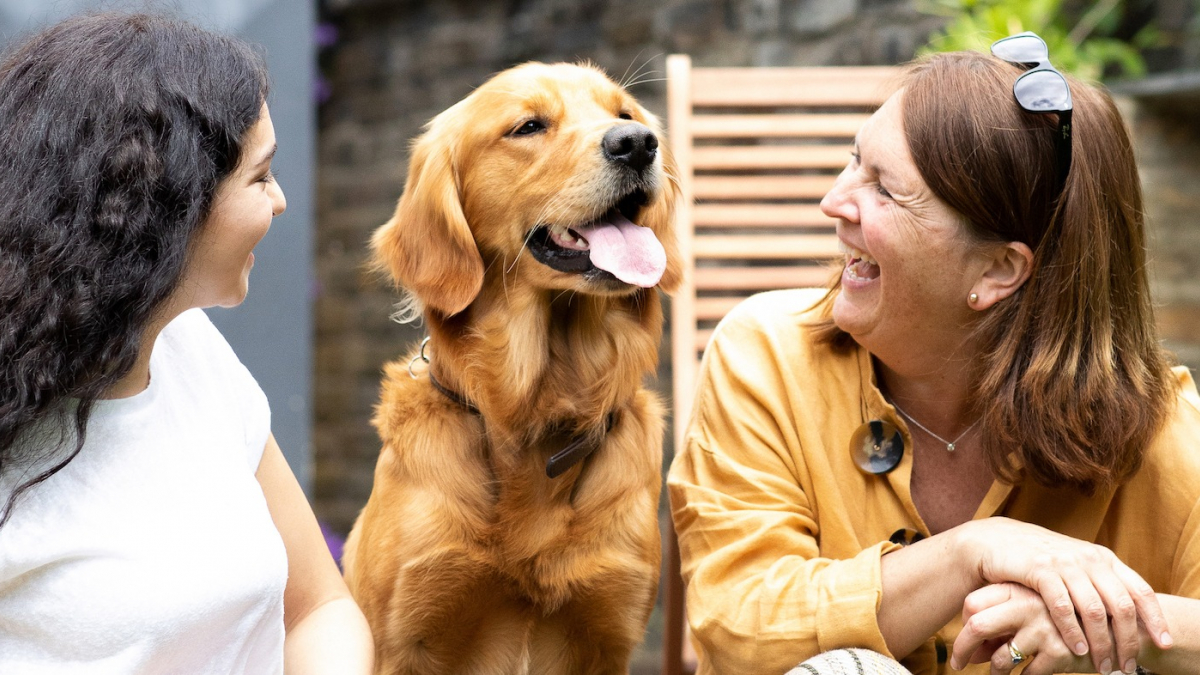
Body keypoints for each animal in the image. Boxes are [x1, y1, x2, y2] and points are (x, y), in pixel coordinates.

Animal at [343, 63, 681, 672]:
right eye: (528, 126)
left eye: (624, 114)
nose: (639, 144)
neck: (538, 414)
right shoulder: (404, 638)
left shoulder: (607, 633)